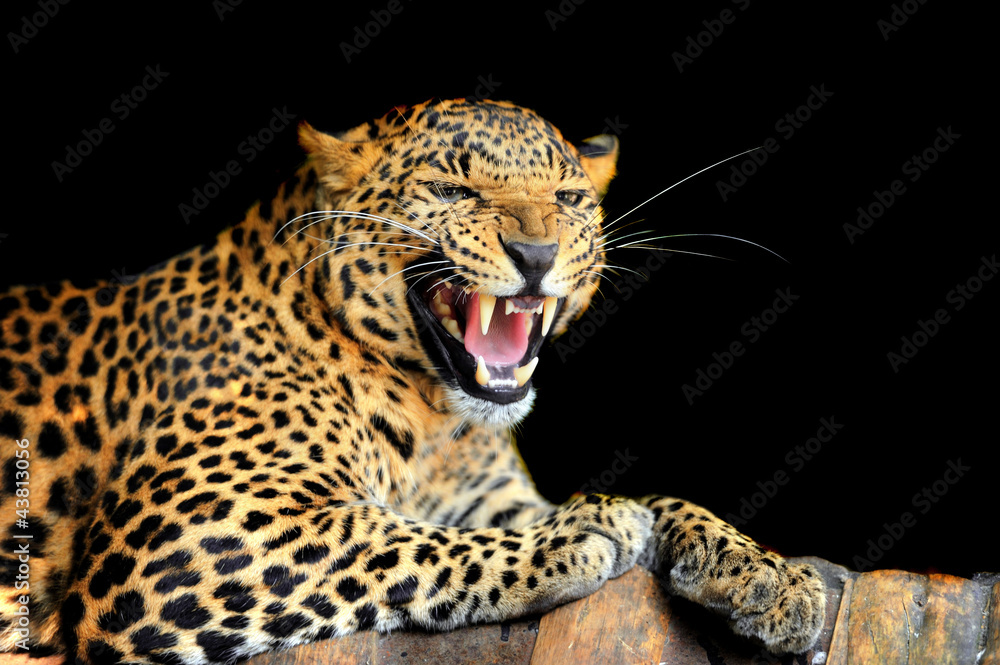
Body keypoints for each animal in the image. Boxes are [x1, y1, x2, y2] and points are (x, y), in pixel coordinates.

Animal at [0, 98, 825, 664]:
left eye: (567, 198)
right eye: (454, 191)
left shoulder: (492, 497)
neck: (433, 420)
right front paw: (581, 533)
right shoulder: (182, 540)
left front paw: (770, 575)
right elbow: (391, 541)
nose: (536, 253)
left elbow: (664, 500)